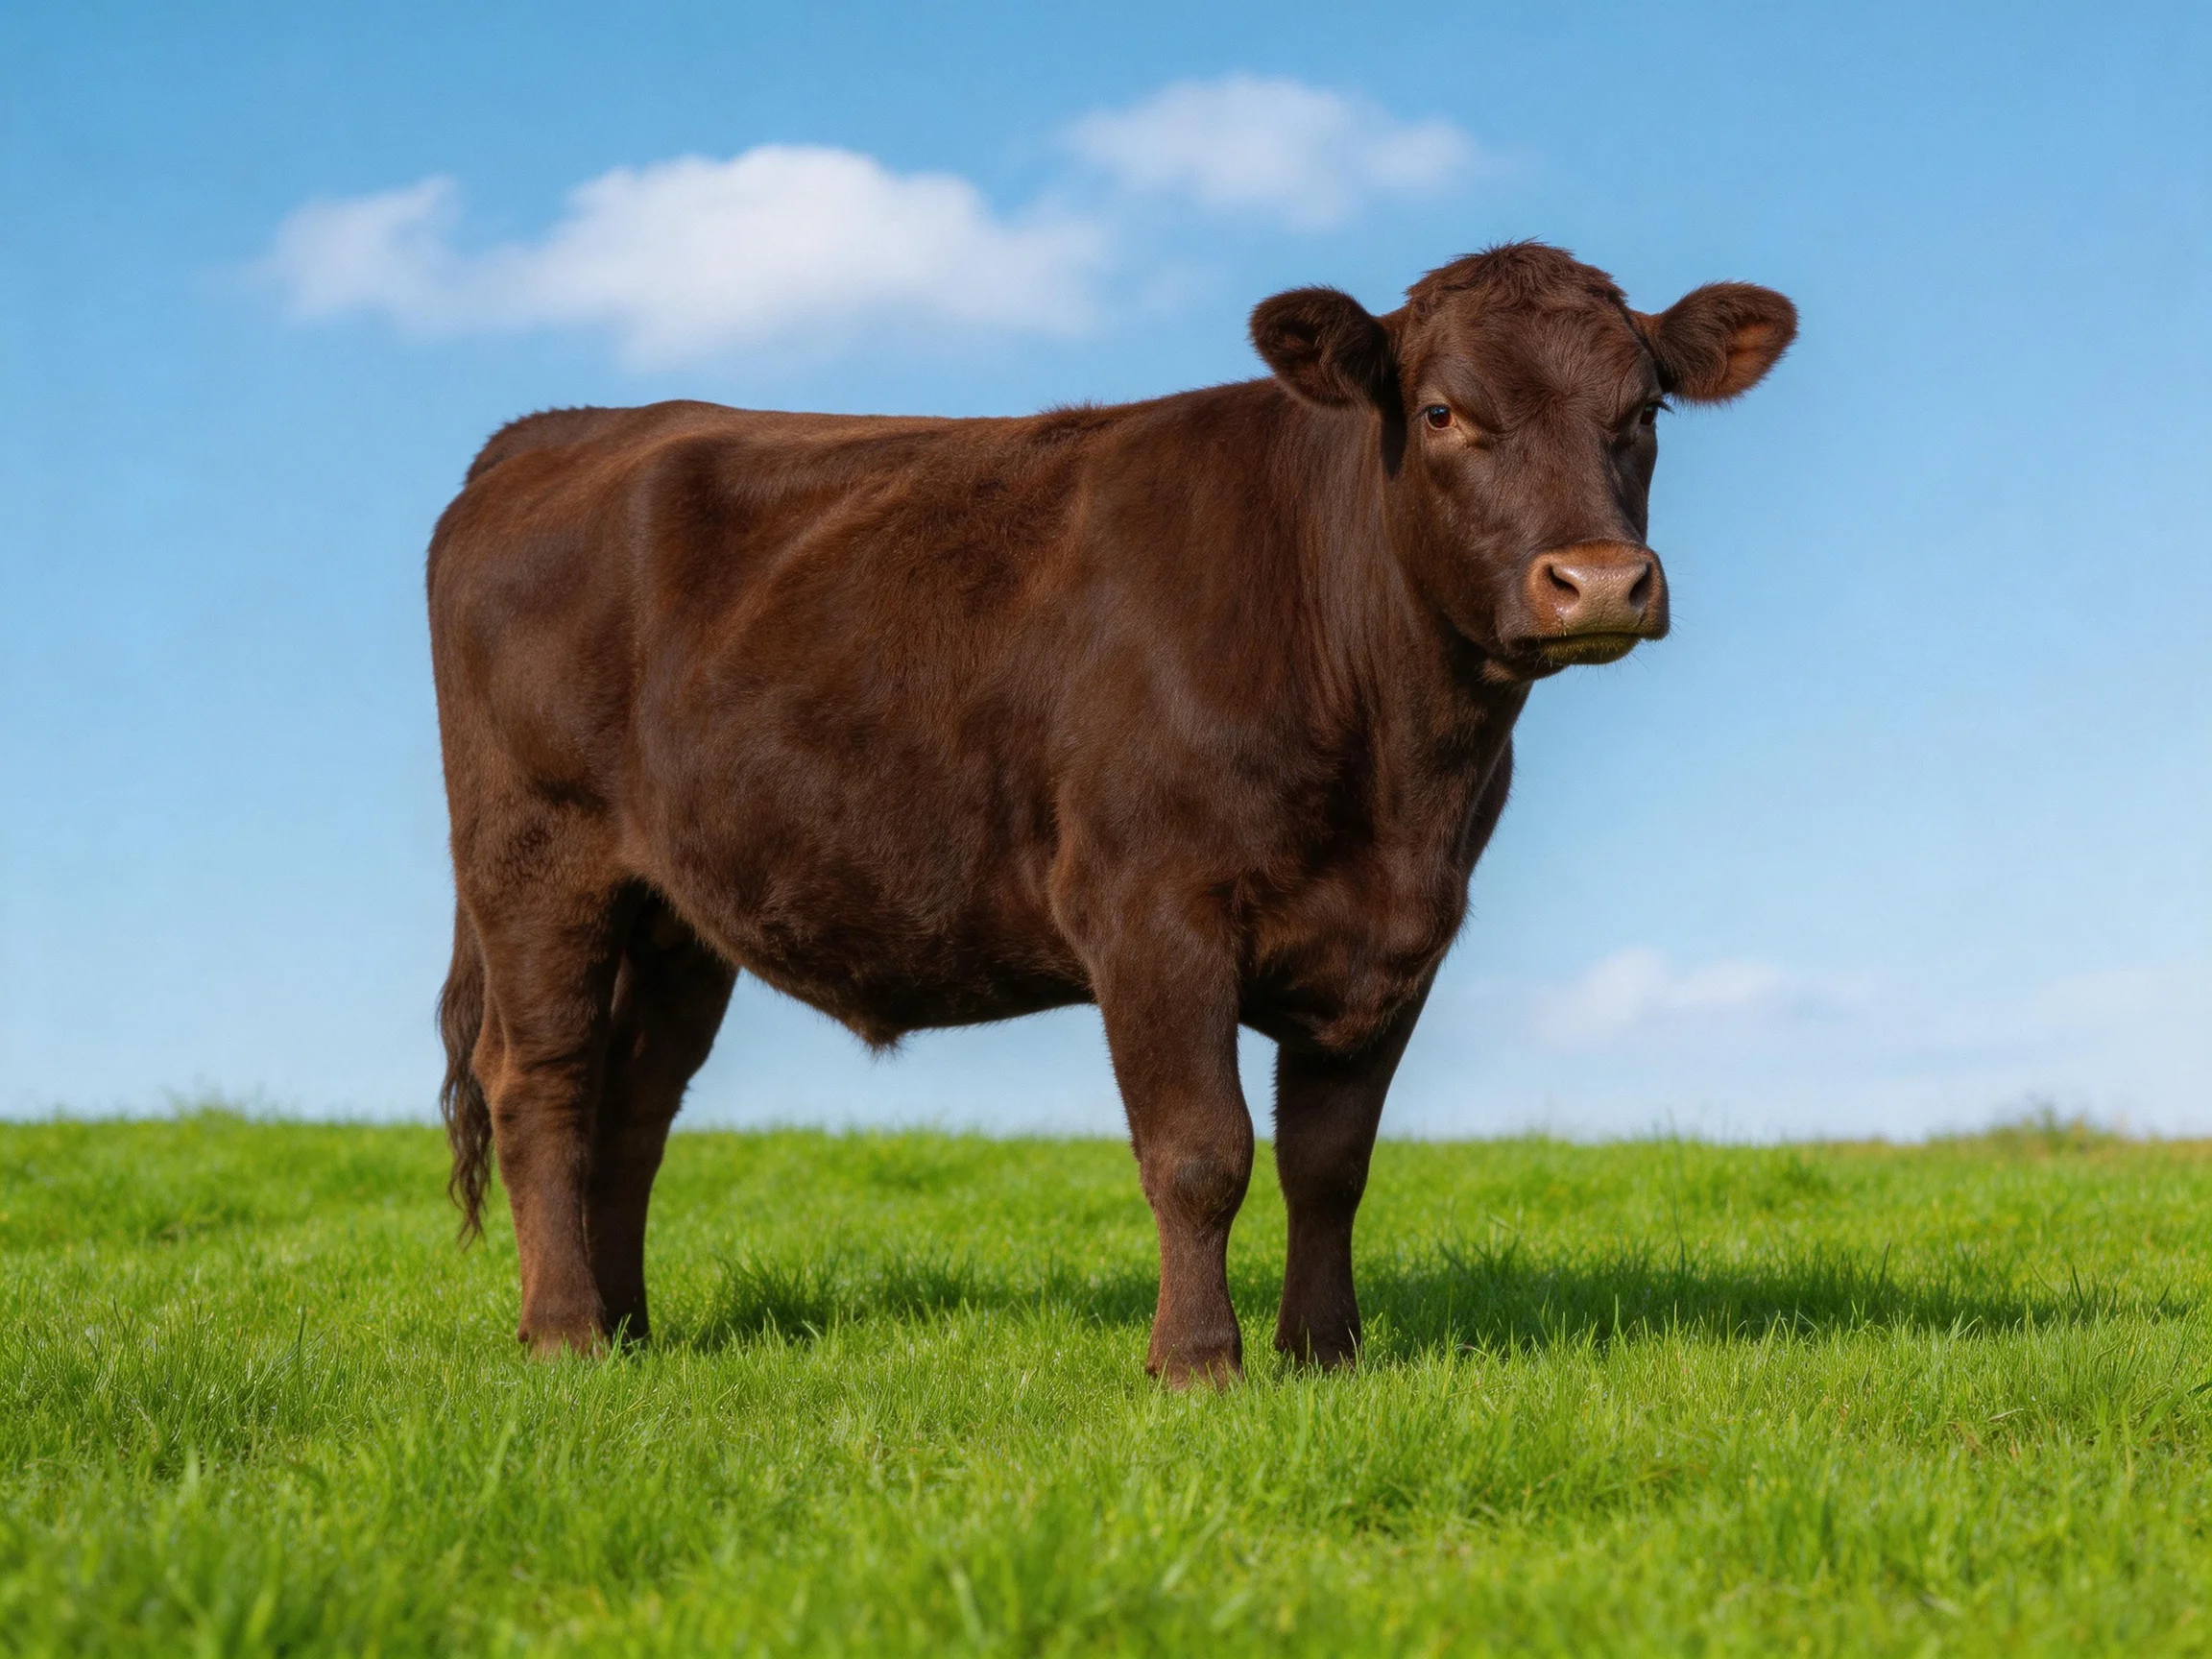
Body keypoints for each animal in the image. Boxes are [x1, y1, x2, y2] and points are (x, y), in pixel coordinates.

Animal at [429, 241, 1795, 1384]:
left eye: (1644, 412)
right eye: (1444, 412)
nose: (1599, 581)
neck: (1403, 773)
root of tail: (548, 434)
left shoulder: (1402, 938)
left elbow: (1330, 1163)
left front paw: (1324, 1355)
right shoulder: (1151, 912)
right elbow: (1200, 1152)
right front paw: (1197, 1362)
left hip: (676, 911)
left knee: (633, 1106)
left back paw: (633, 1329)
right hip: (536, 856)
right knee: (540, 1082)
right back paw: (565, 1336)